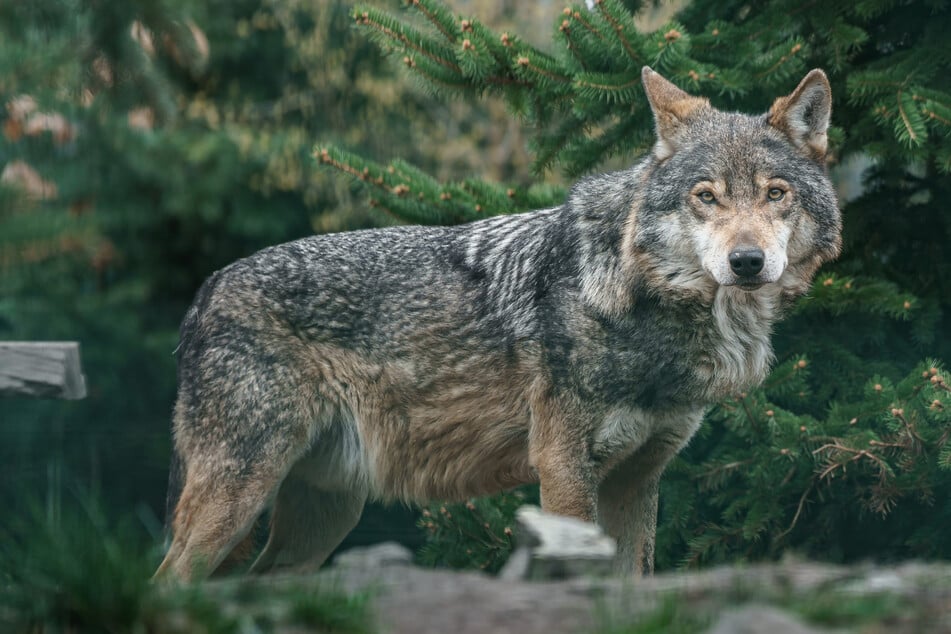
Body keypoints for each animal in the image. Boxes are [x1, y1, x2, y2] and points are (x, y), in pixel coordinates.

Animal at [155, 67, 840, 581]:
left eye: (776, 194)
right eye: (706, 196)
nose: (747, 262)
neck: (638, 295)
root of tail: (205, 292)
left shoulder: (638, 479)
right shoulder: (563, 467)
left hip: (323, 515)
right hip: (238, 496)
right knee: (169, 579)